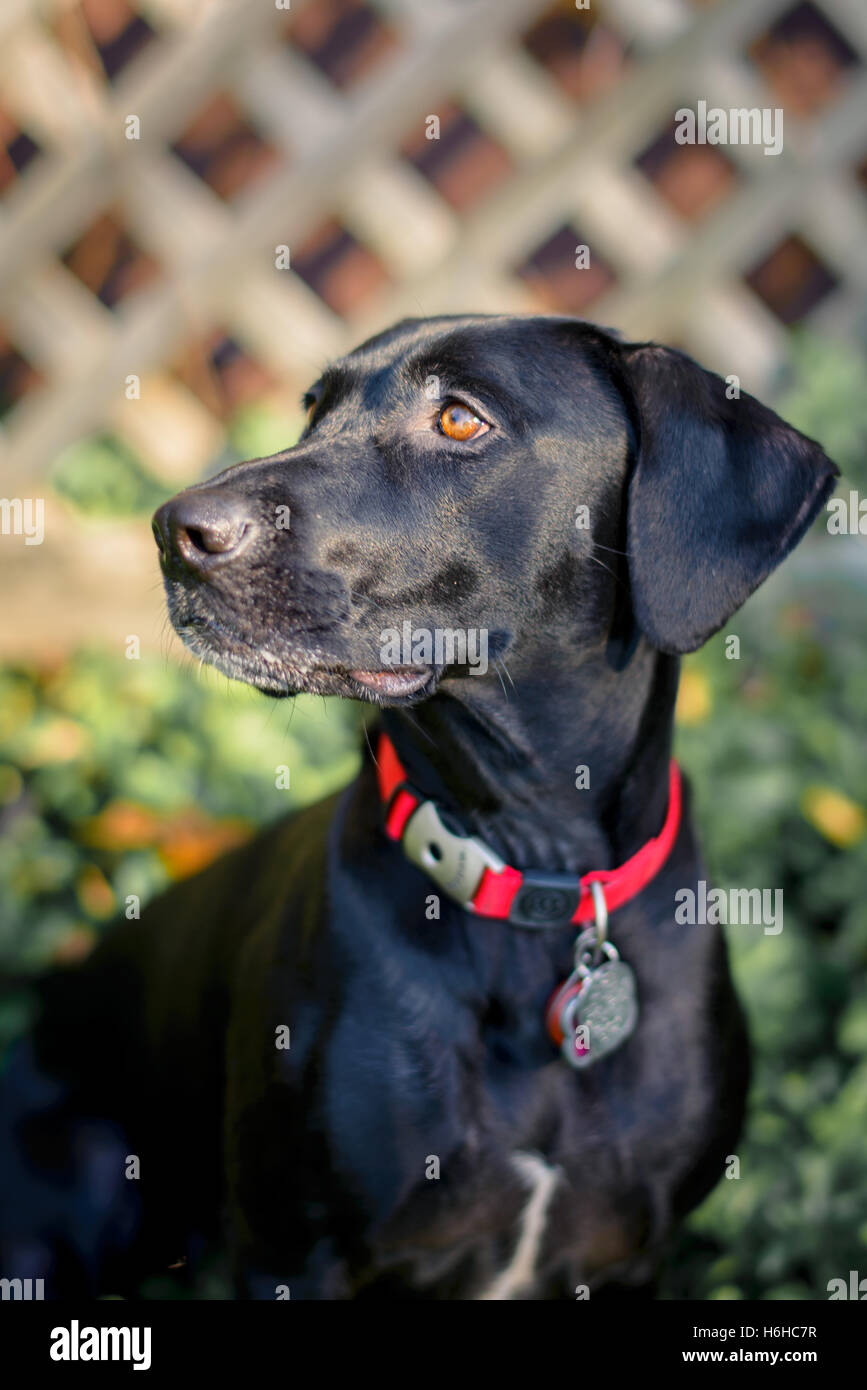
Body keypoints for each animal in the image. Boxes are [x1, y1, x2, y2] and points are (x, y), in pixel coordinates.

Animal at [1, 318, 839, 1301]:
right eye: (313, 408)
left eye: (459, 419)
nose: (175, 532)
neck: (531, 870)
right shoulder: (293, 1256)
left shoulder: (629, 1253)